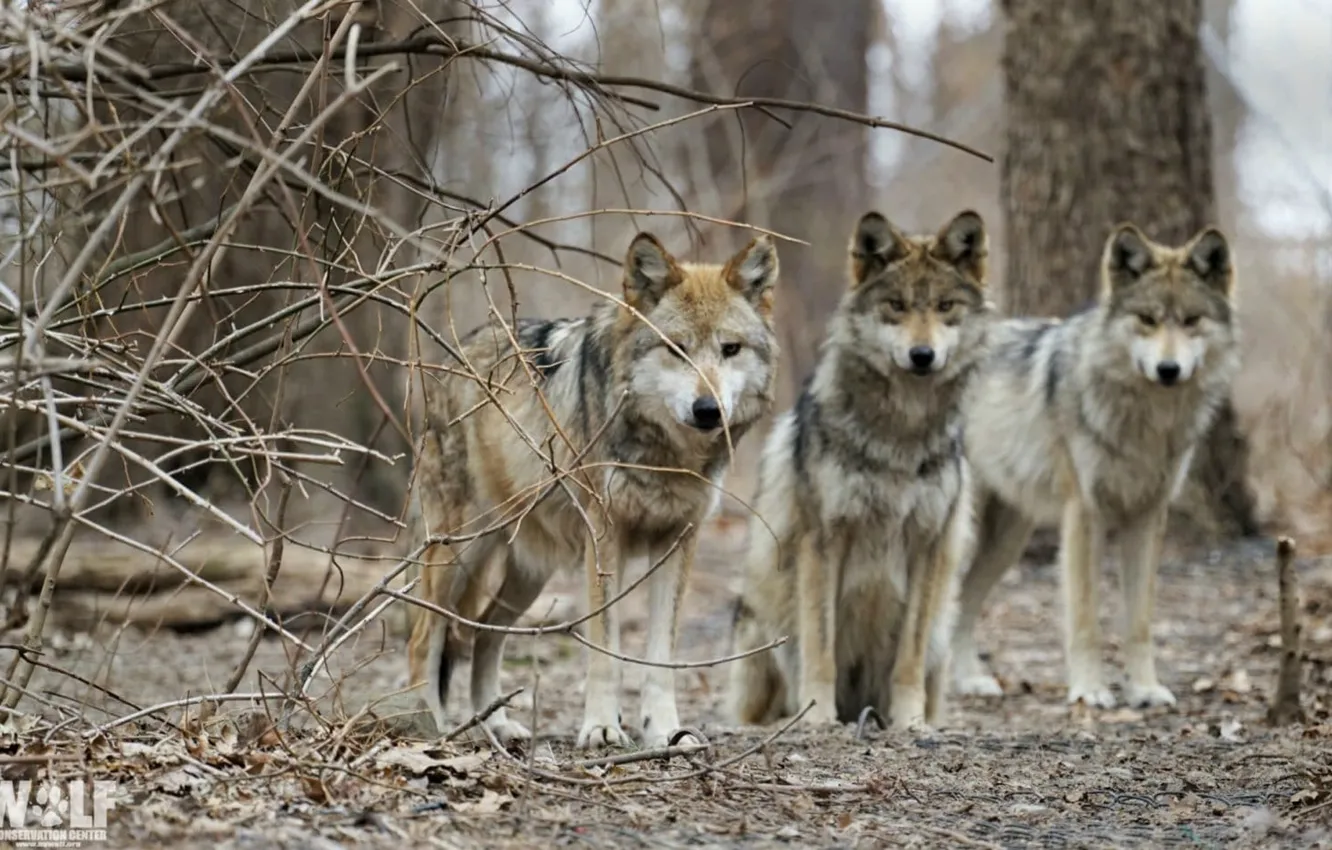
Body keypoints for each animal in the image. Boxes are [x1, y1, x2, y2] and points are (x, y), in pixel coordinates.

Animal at [404, 229, 781, 749]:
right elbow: (606, 648)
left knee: (484, 633)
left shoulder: (680, 541)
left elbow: (661, 657)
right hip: (458, 553)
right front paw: (602, 726)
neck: (667, 456)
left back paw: (495, 723)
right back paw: (431, 724)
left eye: (730, 349)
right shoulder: (605, 540)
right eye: (676, 348)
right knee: (425, 636)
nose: (708, 410)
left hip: (528, 573)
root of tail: (451, 357)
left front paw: (665, 730)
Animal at [727, 209, 993, 730]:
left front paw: (910, 722)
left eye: (945, 306)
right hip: (760, 627)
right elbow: (821, 646)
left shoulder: (928, 543)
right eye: (896, 305)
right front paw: (817, 715)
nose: (922, 356)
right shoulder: (823, 541)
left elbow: (907, 658)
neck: (900, 434)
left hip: (941, 633)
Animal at [949, 223, 1241, 710]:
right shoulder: (1085, 514)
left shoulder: (1148, 516)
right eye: (1147, 319)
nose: (1168, 369)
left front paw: (1144, 690)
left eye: (1190, 320)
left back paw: (969, 680)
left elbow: (1139, 622)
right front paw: (1089, 690)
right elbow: (1086, 619)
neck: (1146, 420)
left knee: (963, 603)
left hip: (1006, 541)